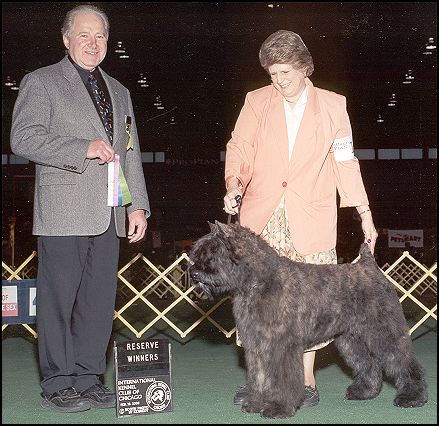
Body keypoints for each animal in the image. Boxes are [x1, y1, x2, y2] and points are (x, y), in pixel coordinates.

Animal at [190, 223, 430, 420]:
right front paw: (255, 403)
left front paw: (278, 407)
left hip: (384, 332)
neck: (258, 282)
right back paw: (364, 391)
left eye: (213, 252)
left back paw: (412, 397)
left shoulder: (280, 346)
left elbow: (281, 379)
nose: (193, 272)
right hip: (351, 339)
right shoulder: (258, 345)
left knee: (403, 361)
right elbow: (259, 375)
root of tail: (369, 266)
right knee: (368, 363)